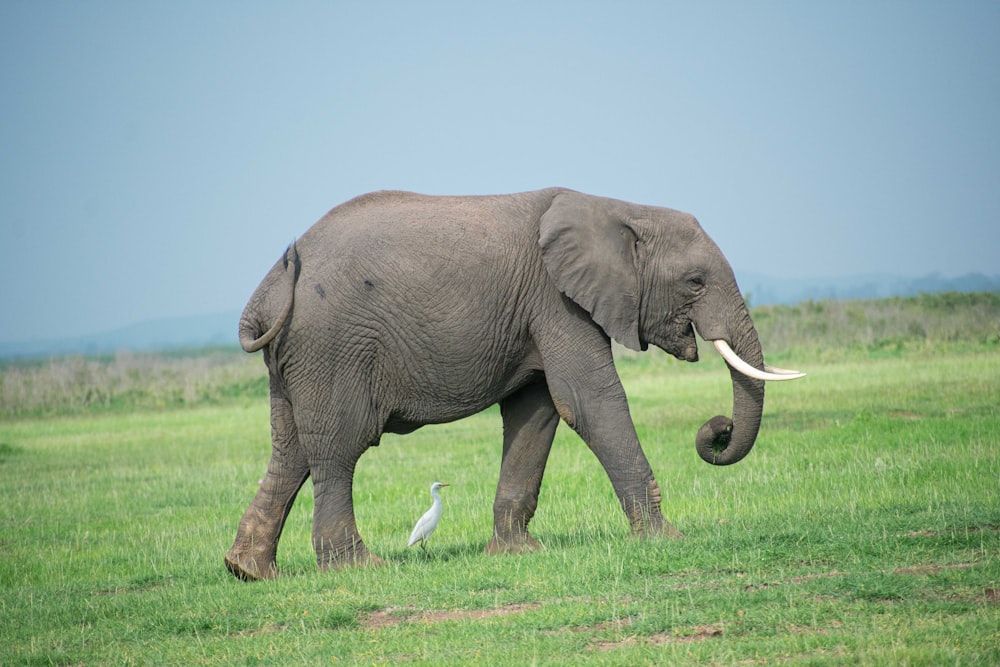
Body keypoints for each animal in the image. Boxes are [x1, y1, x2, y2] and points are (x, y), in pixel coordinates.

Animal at [227, 187, 804, 580]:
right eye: (695, 282)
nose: (717, 430)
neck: (616, 207)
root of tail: (271, 287)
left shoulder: (538, 311)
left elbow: (538, 411)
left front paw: (515, 553)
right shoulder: (558, 301)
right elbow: (588, 402)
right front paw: (665, 539)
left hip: (297, 358)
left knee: (292, 450)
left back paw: (249, 571)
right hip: (332, 348)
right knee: (338, 448)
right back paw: (358, 567)